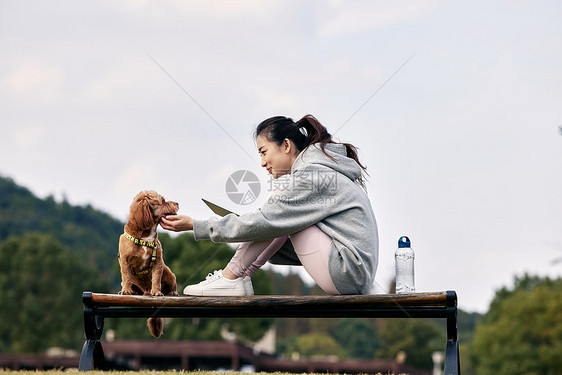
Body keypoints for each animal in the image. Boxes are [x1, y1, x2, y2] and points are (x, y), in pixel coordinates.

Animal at [117, 189, 177, 340]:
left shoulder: (158, 262)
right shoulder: (125, 261)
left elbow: (156, 279)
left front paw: (156, 292)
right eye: (162, 201)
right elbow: (126, 276)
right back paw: (132, 291)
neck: (145, 238)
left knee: (171, 284)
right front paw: (126, 290)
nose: (177, 203)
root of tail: (145, 291)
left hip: (169, 274)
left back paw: (171, 292)